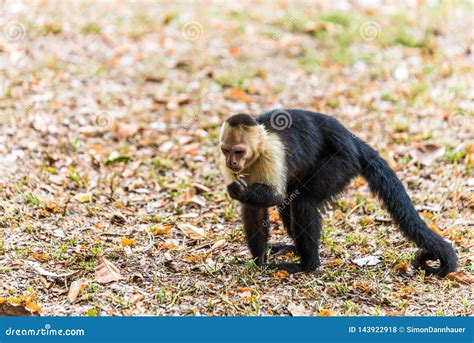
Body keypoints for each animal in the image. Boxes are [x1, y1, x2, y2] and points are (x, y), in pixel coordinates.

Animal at [221, 110, 460, 276]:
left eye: (239, 151)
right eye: (226, 150)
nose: (232, 162)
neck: (255, 154)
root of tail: (349, 137)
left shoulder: (272, 153)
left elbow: (276, 195)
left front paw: (237, 190)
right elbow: (253, 209)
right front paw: (259, 262)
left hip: (344, 161)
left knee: (302, 200)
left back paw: (308, 265)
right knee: (291, 200)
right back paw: (295, 249)